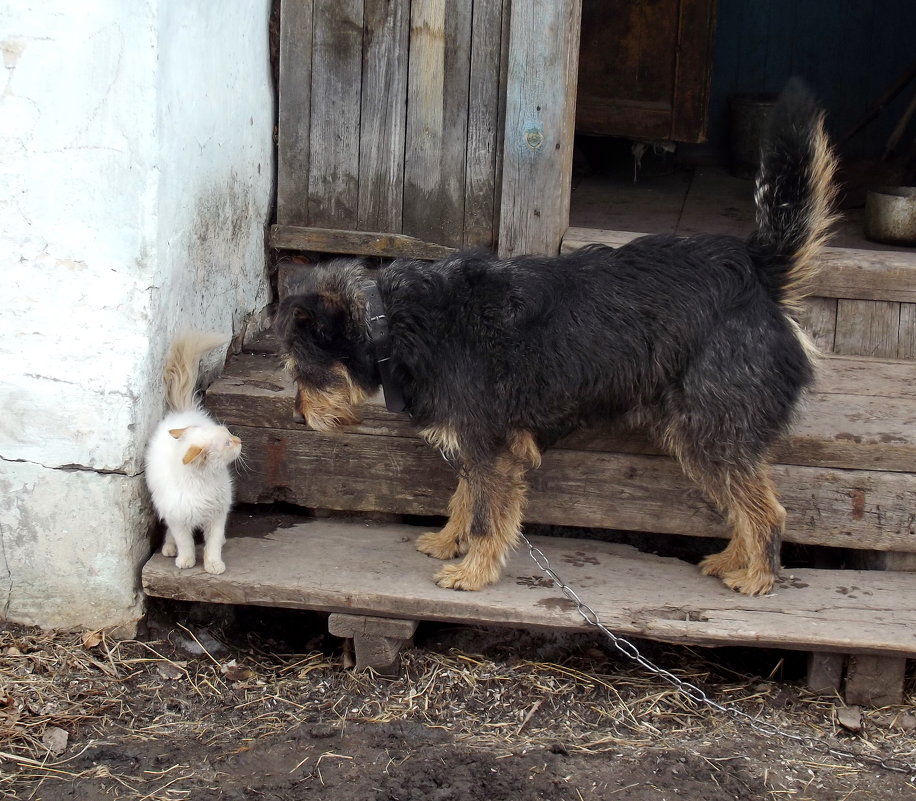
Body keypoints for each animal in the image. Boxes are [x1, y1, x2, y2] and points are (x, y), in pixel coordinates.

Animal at [146, 332, 242, 576]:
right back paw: (169, 548)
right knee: (170, 533)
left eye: (230, 433)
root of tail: (183, 413)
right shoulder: (178, 518)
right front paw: (186, 560)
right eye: (227, 443)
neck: (203, 482)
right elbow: (185, 543)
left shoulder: (218, 515)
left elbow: (213, 544)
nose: (240, 441)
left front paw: (214, 565)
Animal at [274, 79, 836, 592]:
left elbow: (487, 513)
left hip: (712, 427)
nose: (298, 417)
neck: (393, 322)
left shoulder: (492, 445)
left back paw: (758, 576)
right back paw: (732, 559)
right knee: (744, 499)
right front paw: (450, 539)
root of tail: (756, 270)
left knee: (767, 510)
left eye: (302, 371)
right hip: (704, 435)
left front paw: (474, 570)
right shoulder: (479, 441)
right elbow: (466, 496)